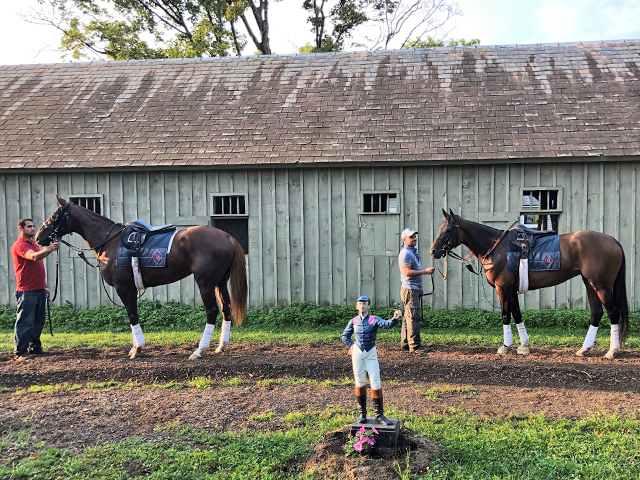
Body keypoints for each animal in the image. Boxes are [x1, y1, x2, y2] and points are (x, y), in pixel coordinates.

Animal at [36, 193, 248, 358]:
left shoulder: (124, 287)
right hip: (219, 282)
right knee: (226, 309)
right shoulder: (130, 288)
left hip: (205, 283)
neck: (110, 241)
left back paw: (199, 350)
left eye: (54, 216)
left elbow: (132, 315)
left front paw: (137, 349)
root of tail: (226, 236)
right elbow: (134, 314)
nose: (39, 237)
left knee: (211, 311)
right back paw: (220, 346)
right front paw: (136, 347)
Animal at [430, 208, 632, 358]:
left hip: (601, 285)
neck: (497, 248)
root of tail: (613, 240)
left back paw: (612, 351)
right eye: (439, 228)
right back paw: (584, 349)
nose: (433, 251)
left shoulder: (503, 288)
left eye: (447, 230)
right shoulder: (512, 290)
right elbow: (517, 314)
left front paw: (505, 346)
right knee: (596, 313)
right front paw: (524, 346)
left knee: (613, 313)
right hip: (590, 284)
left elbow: (506, 315)